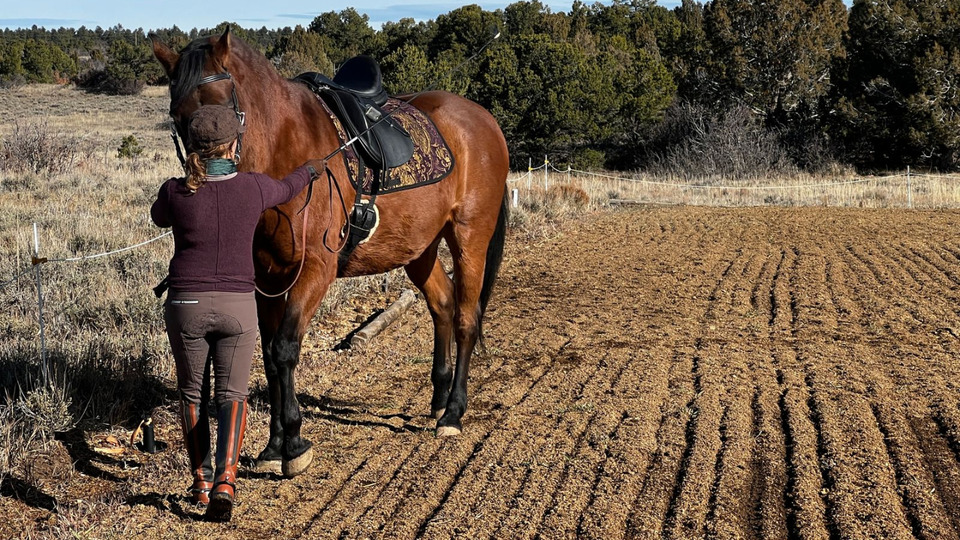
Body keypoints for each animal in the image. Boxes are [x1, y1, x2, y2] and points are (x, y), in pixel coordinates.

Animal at [150, 28, 509, 477]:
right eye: (178, 116)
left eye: (224, 108)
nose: (202, 181)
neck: (285, 151)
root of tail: (484, 120)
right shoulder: (266, 279)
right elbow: (269, 356)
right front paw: (274, 446)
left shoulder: (315, 273)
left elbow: (285, 349)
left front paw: (294, 443)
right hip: (420, 249)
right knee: (442, 305)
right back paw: (440, 400)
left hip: (469, 238)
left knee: (465, 318)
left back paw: (454, 413)